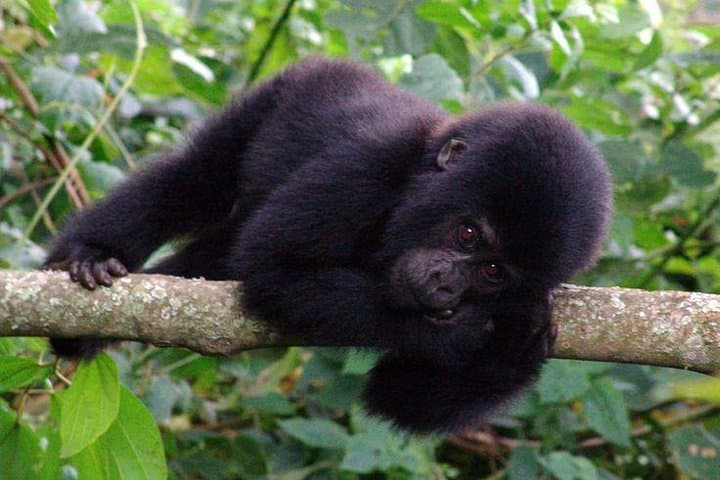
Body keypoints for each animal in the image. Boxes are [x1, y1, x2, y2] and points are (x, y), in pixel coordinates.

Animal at [45, 57, 612, 433]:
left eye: (495, 273)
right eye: (468, 234)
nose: (445, 283)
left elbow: (400, 399)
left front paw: (514, 342)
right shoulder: (366, 166)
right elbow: (271, 269)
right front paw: (453, 334)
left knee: (210, 253)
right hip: (279, 93)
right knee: (197, 179)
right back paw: (88, 255)